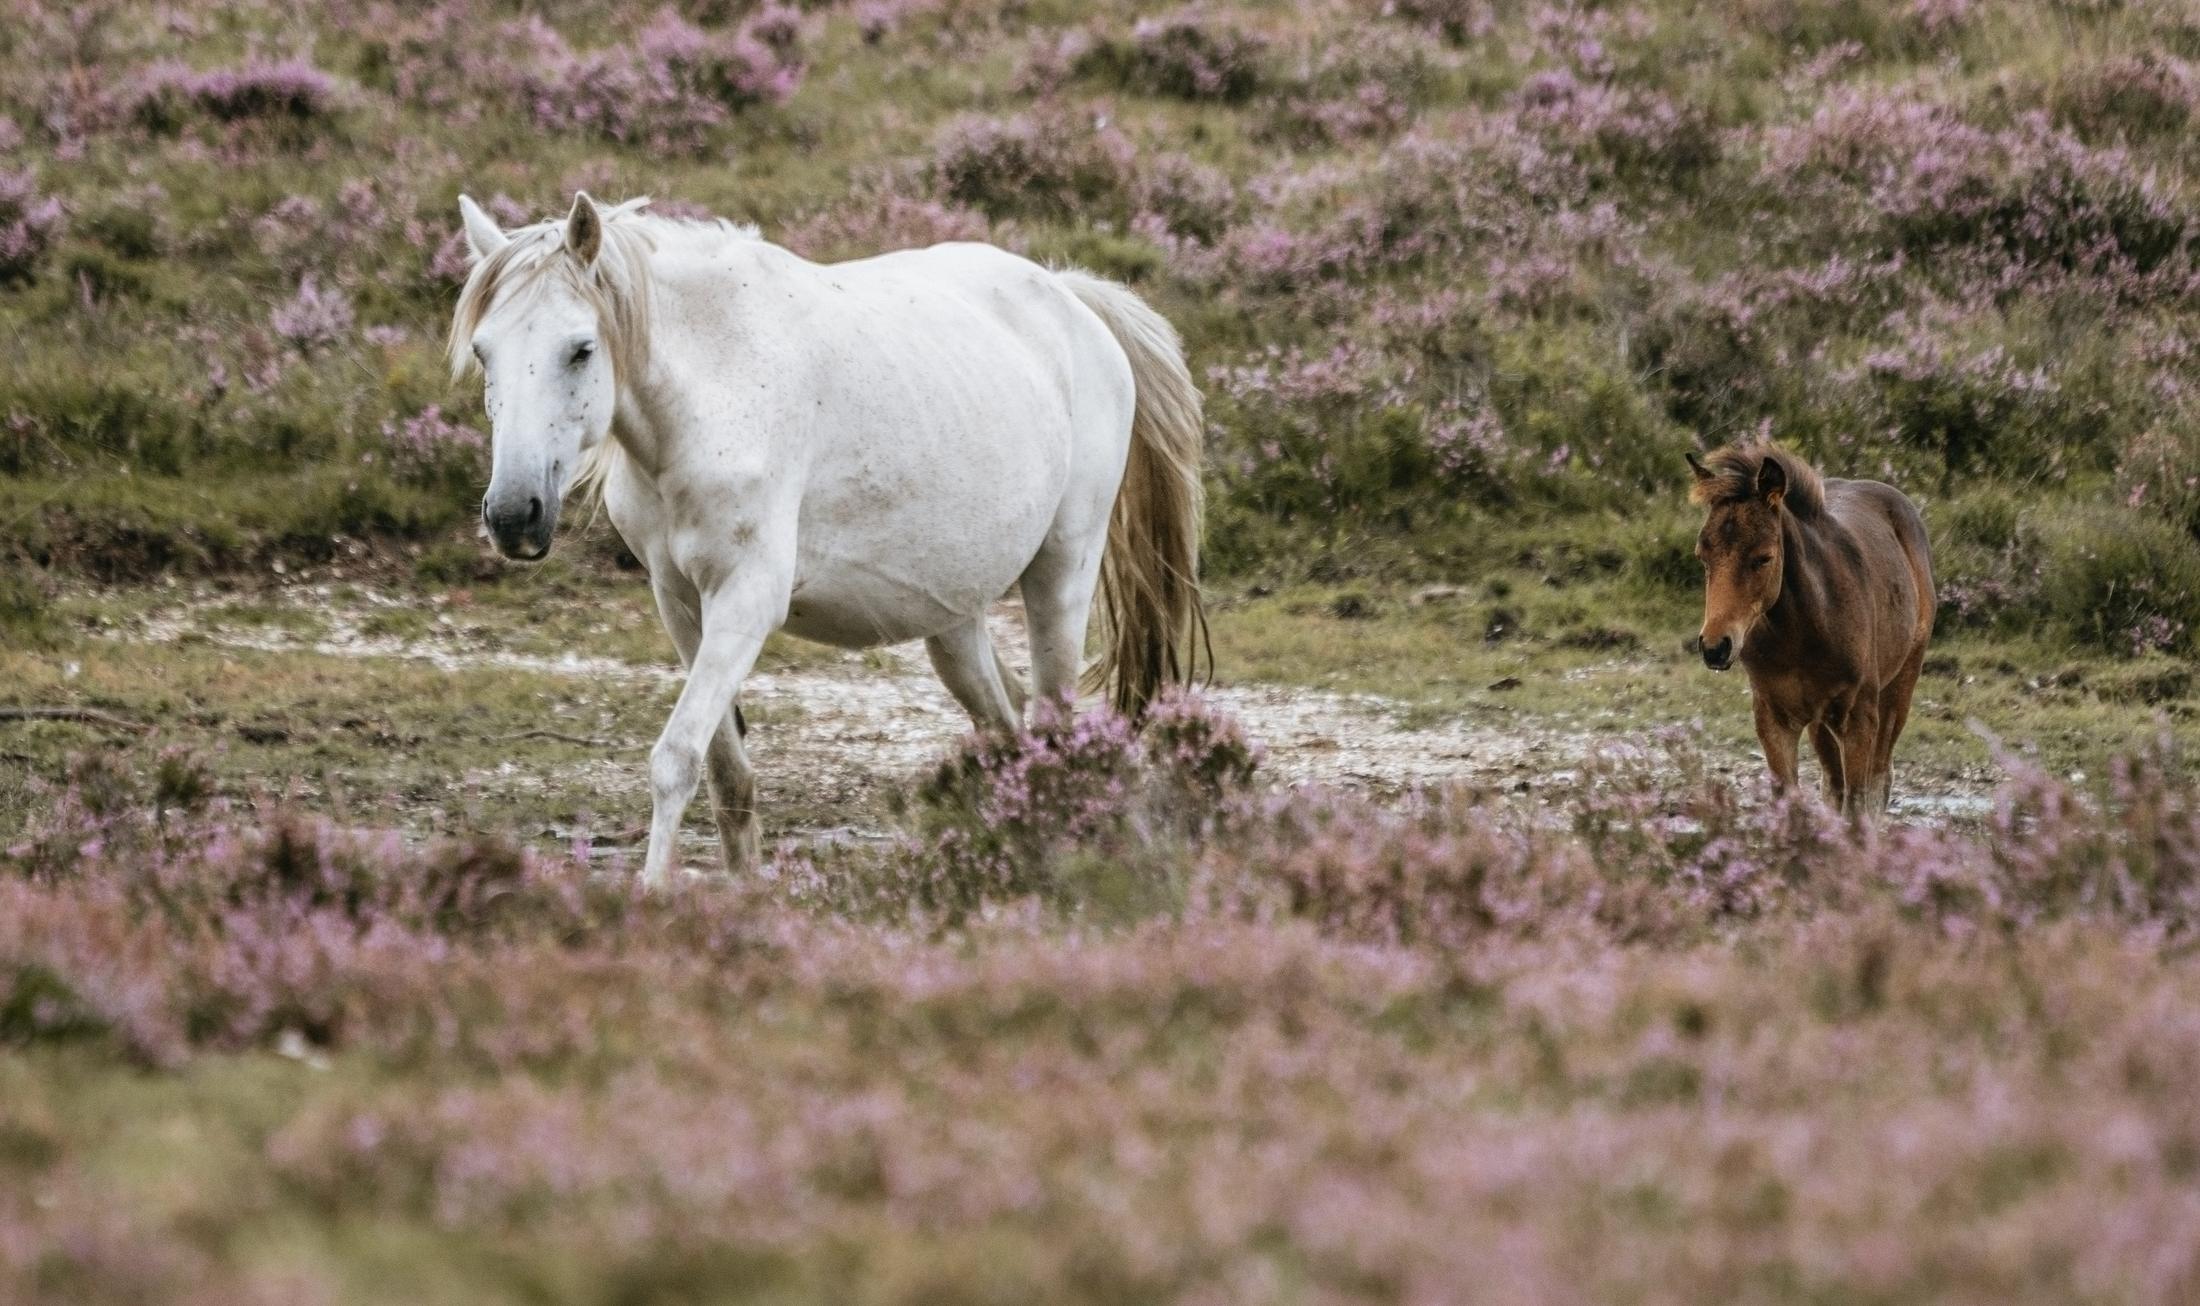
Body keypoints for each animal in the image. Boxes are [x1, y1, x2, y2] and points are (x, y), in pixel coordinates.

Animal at [449, 193, 1208, 885]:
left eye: (580, 350)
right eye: (484, 351)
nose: (513, 516)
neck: (715, 388)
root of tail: (1073, 300)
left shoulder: (748, 601)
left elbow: (676, 759)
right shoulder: (681, 603)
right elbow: (726, 775)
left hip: (1061, 576)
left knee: (1052, 730)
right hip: (955, 622)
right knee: (1006, 729)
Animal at [1686, 442, 1935, 816]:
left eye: (1764, 557)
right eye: (1703, 556)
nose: (1715, 647)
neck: (1803, 634)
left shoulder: (1859, 718)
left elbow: (1858, 804)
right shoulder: (1773, 719)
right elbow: (1791, 799)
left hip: (1900, 684)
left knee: (1879, 780)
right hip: (1820, 722)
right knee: (1834, 784)